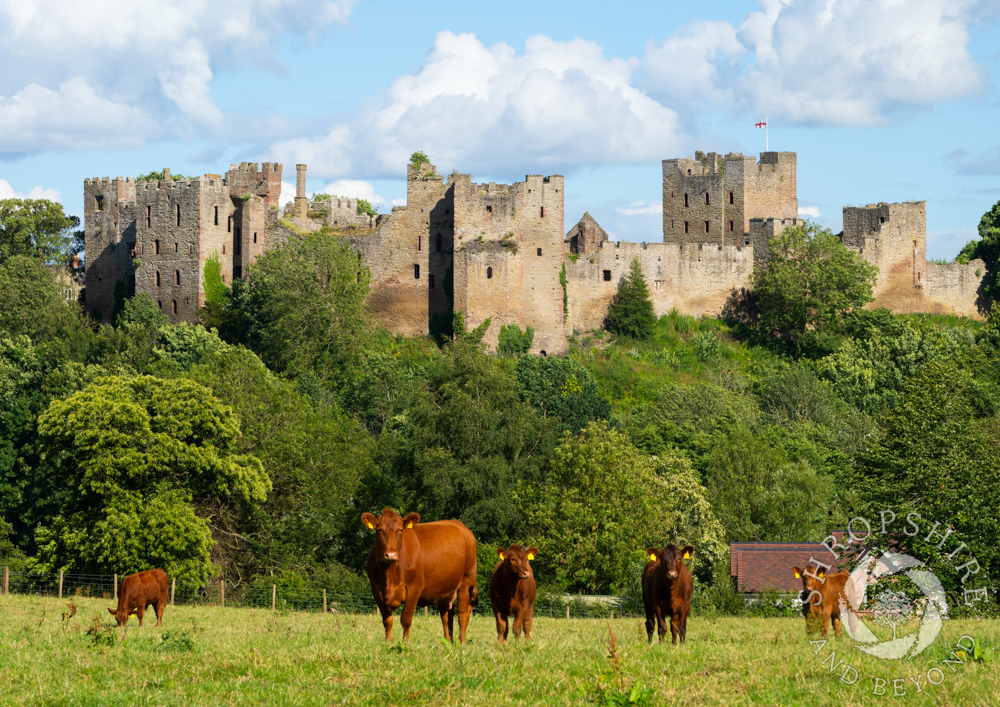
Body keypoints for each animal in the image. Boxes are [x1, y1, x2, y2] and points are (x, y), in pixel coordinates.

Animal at [364, 508, 480, 648]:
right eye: (379, 530)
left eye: (400, 529)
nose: (390, 555)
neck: (389, 576)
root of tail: (461, 526)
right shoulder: (377, 591)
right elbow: (387, 620)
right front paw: (388, 641)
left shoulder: (414, 589)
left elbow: (406, 619)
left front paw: (405, 642)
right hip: (446, 588)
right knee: (446, 615)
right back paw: (447, 641)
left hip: (466, 582)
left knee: (463, 614)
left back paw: (461, 642)